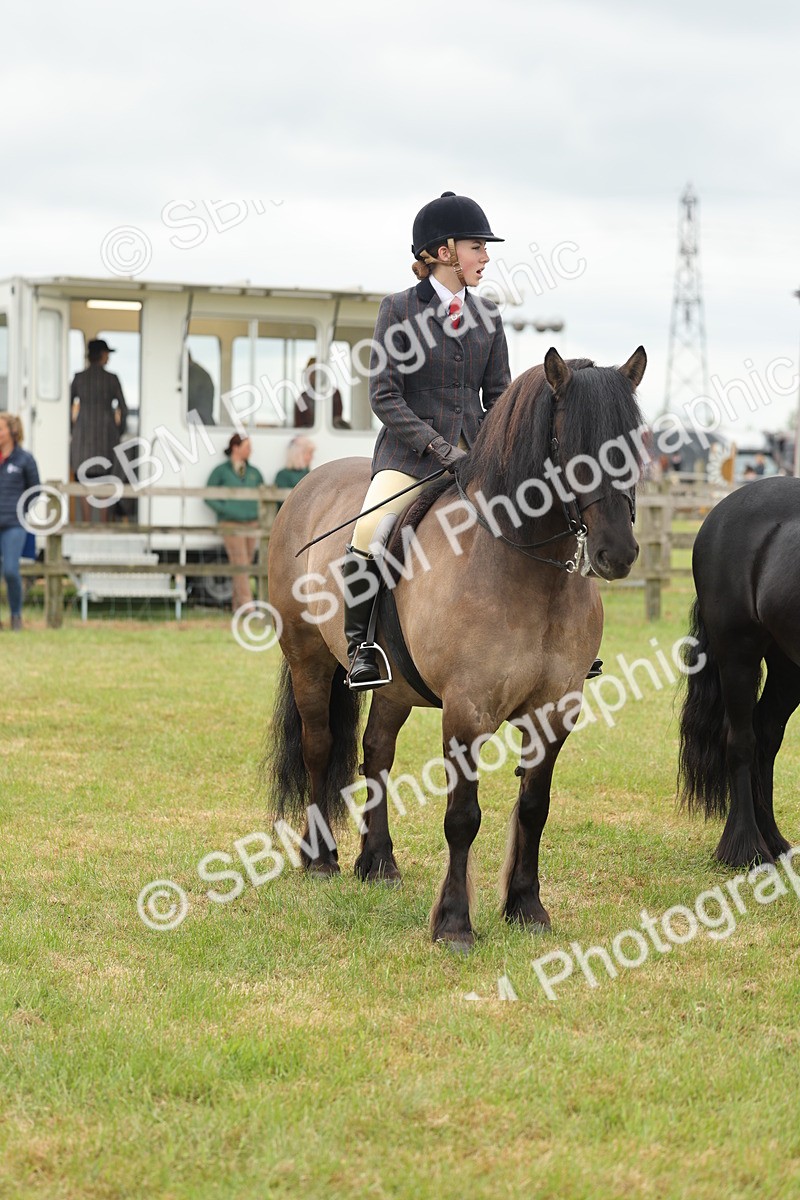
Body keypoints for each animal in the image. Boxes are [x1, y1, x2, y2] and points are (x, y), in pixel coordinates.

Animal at [266, 346, 647, 949]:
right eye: (568, 444)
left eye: (634, 443)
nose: (618, 553)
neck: (524, 563)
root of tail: (308, 484)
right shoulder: (467, 711)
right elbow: (463, 817)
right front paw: (453, 923)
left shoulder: (555, 710)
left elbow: (534, 807)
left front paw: (526, 907)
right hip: (307, 660)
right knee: (320, 748)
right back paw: (322, 859)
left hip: (394, 685)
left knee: (377, 751)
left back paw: (378, 862)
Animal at [678, 476, 800, 867]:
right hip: (737, 655)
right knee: (740, 740)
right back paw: (745, 847)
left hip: (786, 664)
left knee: (765, 735)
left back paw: (772, 840)